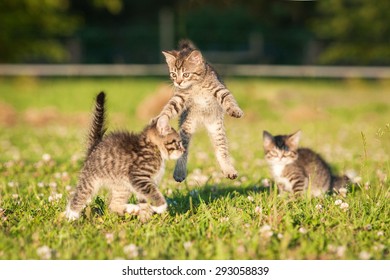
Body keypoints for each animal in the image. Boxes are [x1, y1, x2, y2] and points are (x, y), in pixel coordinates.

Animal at [65, 93, 184, 222]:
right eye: (178, 142)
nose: (184, 150)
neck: (154, 148)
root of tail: (95, 146)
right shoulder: (138, 176)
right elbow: (152, 192)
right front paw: (161, 206)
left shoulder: (144, 183)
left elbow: (146, 199)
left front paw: (145, 220)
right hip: (90, 180)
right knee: (79, 196)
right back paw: (71, 216)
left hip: (121, 186)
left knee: (113, 205)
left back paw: (132, 209)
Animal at [155, 40, 244, 183]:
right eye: (173, 74)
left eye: (186, 74)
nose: (178, 82)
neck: (196, 85)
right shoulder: (180, 96)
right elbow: (170, 107)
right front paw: (162, 118)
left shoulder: (219, 88)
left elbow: (228, 98)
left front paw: (235, 111)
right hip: (186, 126)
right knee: (183, 152)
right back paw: (179, 173)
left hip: (216, 127)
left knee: (221, 149)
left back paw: (228, 170)